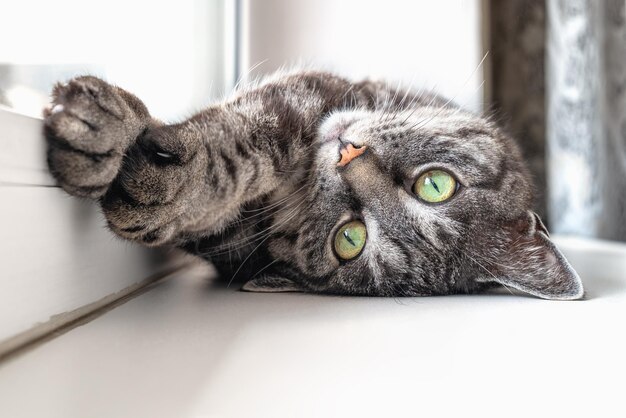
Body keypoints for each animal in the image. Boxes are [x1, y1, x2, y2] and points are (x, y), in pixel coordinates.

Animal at [42, 70, 580, 300]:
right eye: (436, 186)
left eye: (349, 239)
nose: (347, 153)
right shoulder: (309, 94)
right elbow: (249, 134)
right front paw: (113, 126)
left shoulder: (233, 243)